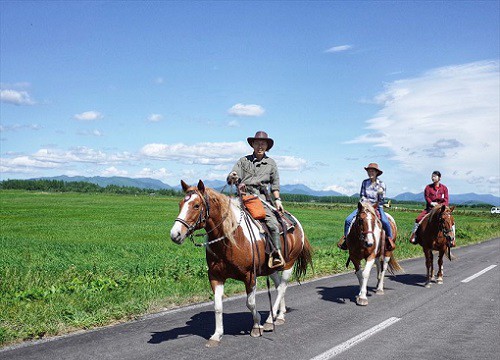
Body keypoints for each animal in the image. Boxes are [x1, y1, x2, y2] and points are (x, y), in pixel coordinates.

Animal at [171, 181, 312, 348]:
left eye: (196, 205)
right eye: (180, 204)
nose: (175, 235)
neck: (231, 240)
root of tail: (296, 223)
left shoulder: (250, 276)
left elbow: (250, 303)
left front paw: (257, 326)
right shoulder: (215, 276)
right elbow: (217, 306)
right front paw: (216, 335)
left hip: (288, 264)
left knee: (283, 287)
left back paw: (269, 321)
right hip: (271, 269)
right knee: (279, 287)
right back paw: (280, 315)